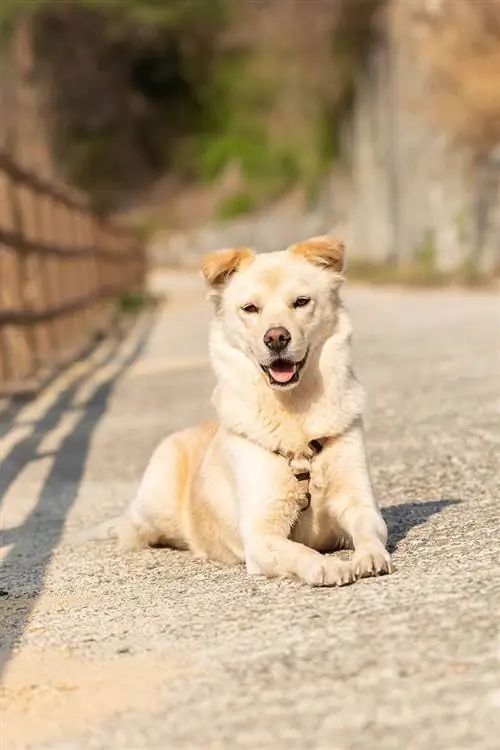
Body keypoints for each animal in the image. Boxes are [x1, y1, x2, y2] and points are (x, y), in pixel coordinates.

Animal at [116, 238, 390, 592]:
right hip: (156, 493)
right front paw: (327, 566)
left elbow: (369, 531)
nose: (276, 338)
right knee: (133, 525)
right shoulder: (261, 534)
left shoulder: (359, 501)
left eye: (301, 302)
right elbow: (298, 550)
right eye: (250, 309)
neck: (293, 411)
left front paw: (369, 557)